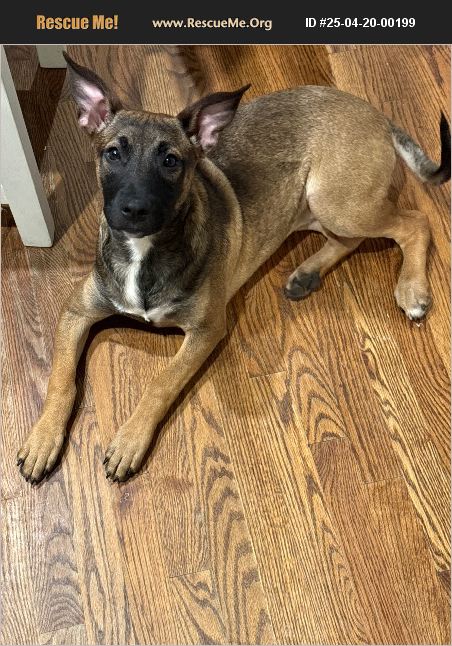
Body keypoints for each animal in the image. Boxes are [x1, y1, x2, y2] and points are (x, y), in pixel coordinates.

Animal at [17, 53, 450, 484]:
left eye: (171, 161)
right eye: (112, 154)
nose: (134, 210)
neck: (146, 251)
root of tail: (372, 112)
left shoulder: (206, 330)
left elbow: (161, 382)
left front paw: (130, 440)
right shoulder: (77, 311)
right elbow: (60, 379)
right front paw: (42, 439)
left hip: (338, 202)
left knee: (415, 223)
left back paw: (412, 289)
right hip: (313, 207)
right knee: (352, 239)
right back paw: (307, 274)